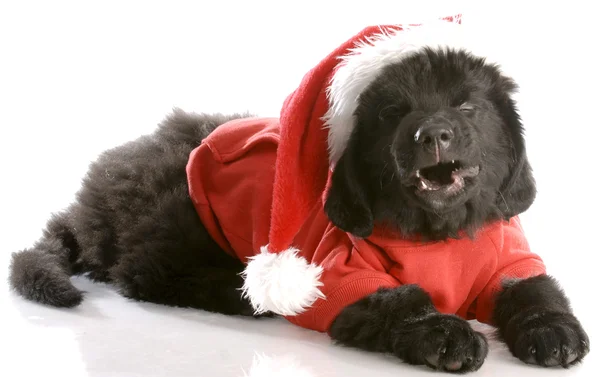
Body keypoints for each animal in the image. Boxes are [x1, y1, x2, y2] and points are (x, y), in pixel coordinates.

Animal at [9, 19, 592, 372]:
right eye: (393, 113)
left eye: (468, 107)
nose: (433, 135)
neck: (438, 237)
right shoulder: (335, 276)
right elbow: (401, 299)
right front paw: (447, 335)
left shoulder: (509, 257)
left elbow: (535, 288)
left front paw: (554, 331)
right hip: (177, 215)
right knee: (144, 271)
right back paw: (240, 296)